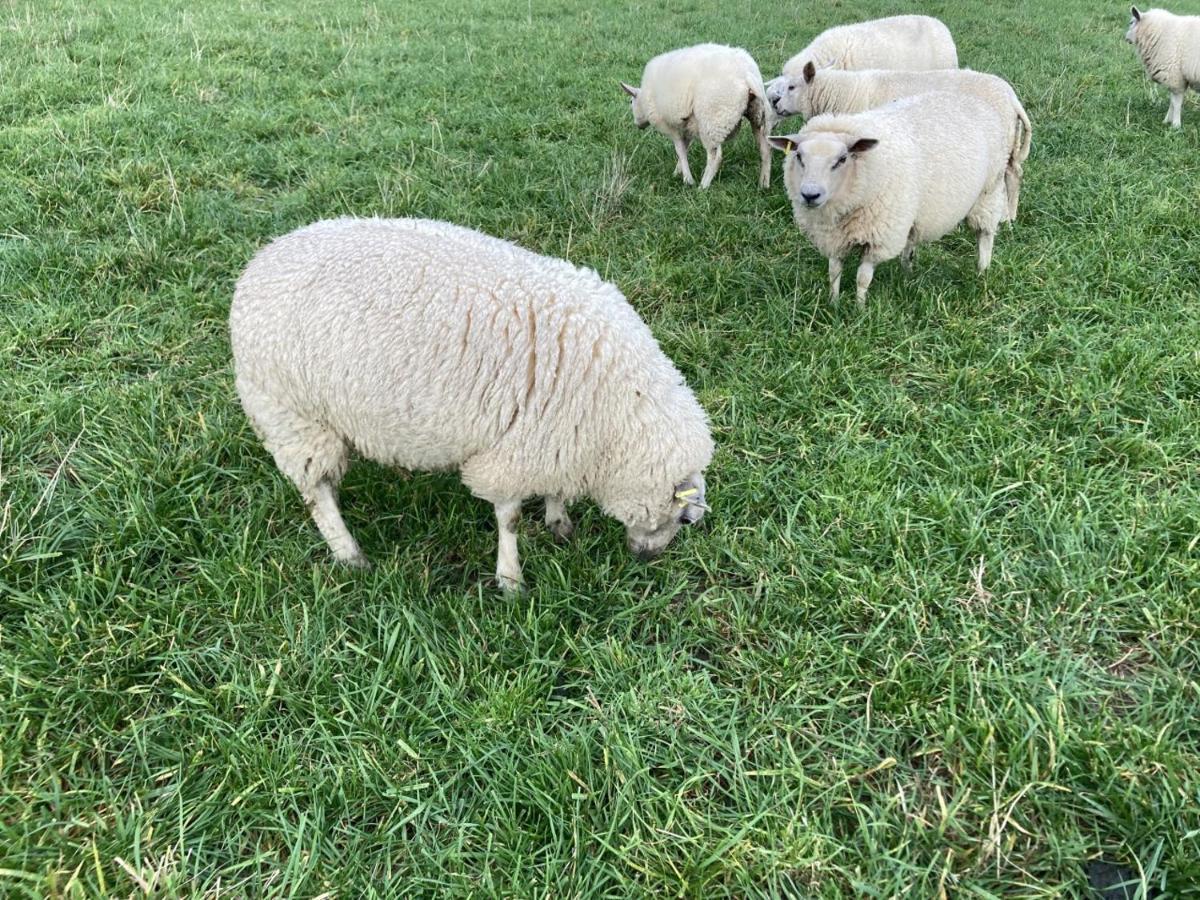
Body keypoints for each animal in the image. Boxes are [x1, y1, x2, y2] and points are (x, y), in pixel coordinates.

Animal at [228, 217, 710, 592]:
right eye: (684, 520)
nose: (645, 559)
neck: (619, 422)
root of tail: (260, 261)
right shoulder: (514, 450)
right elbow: (509, 519)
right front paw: (511, 580)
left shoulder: (554, 438)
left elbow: (553, 488)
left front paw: (558, 521)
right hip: (292, 414)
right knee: (317, 494)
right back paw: (350, 555)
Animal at [624, 45, 772, 189]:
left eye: (631, 102)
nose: (637, 125)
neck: (644, 98)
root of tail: (747, 74)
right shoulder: (686, 126)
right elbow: (684, 149)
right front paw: (677, 172)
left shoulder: (669, 126)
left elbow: (679, 150)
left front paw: (687, 179)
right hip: (757, 114)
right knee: (765, 150)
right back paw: (763, 184)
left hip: (713, 120)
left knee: (715, 157)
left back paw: (703, 186)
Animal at [772, 63, 1036, 222]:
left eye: (792, 87)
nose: (775, 103)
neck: (841, 92)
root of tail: (1011, 97)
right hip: (1009, 144)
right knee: (1015, 173)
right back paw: (1010, 215)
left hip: (1001, 144)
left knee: (1010, 176)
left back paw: (1007, 217)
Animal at [772, 92, 1017, 307]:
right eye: (799, 156)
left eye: (842, 159)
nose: (810, 194)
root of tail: (975, 100)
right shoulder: (832, 237)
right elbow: (833, 272)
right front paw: (833, 303)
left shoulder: (879, 238)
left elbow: (863, 278)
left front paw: (859, 309)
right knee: (910, 243)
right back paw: (907, 275)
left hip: (988, 190)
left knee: (985, 234)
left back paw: (982, 271)